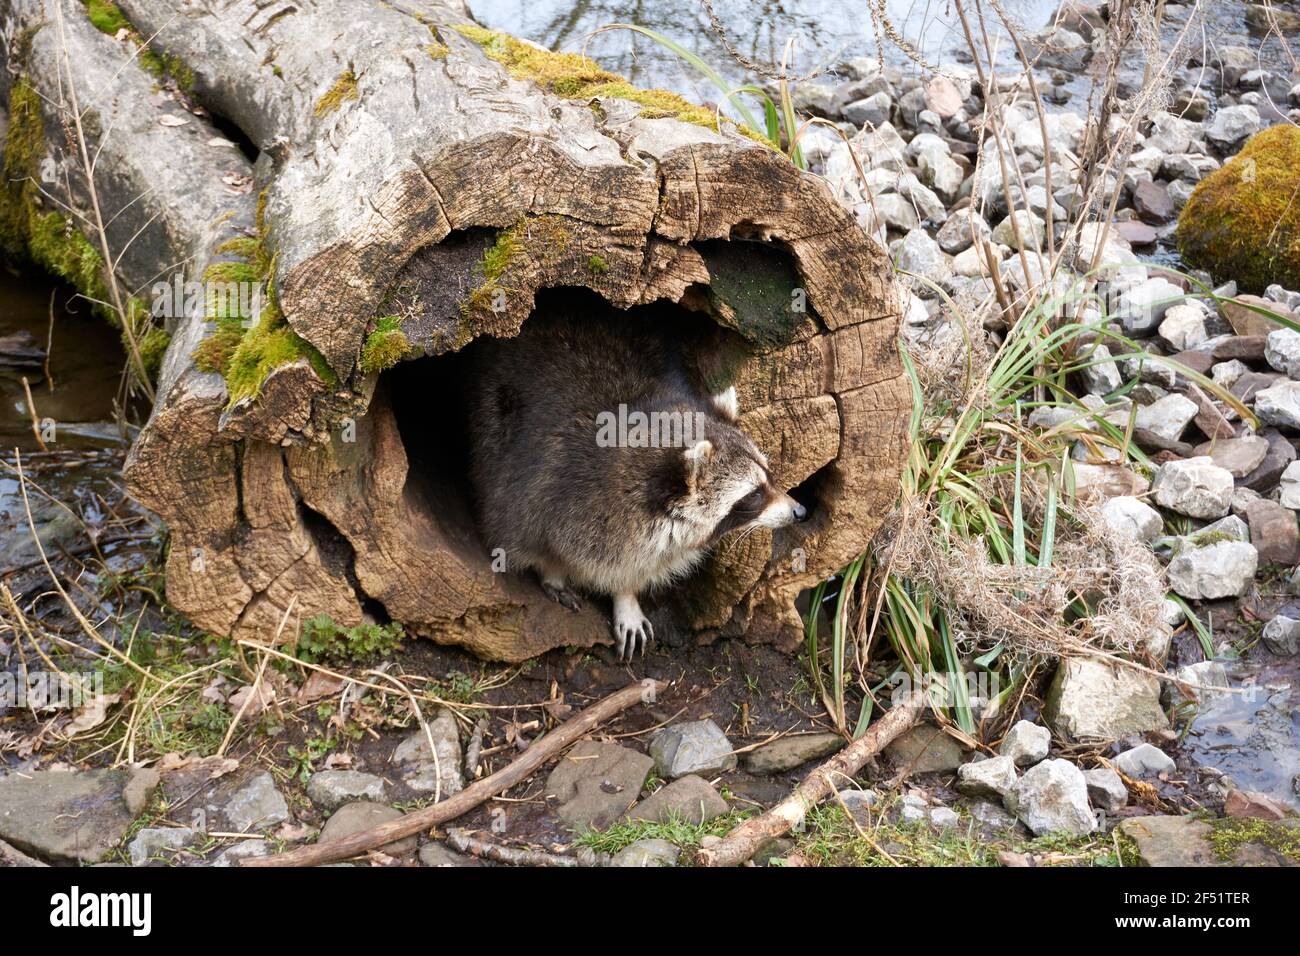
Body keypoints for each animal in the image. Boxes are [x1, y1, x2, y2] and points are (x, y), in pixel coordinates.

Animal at [466, 313, 807, 659]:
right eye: (754, 494)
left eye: (769, 475)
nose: (800, 511)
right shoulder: (541, 485)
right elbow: (527, 535)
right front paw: (553, 571)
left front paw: (626, 594)